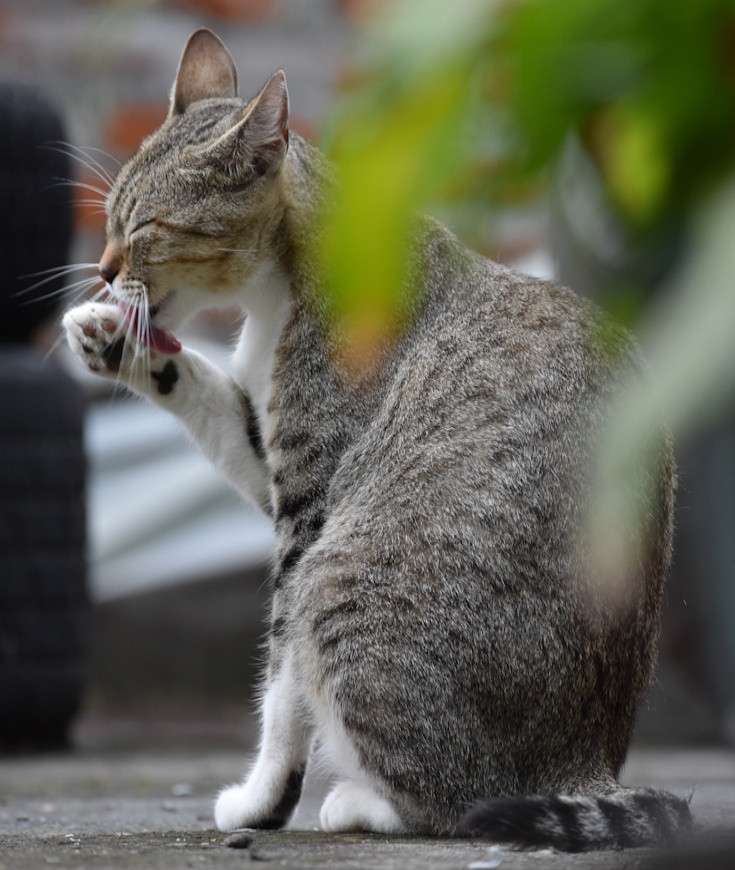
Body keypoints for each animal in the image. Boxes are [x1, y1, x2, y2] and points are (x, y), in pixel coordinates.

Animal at [61, 25, 688, 852]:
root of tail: (586, 767)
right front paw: (114, 343)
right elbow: (208, 398)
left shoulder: (310, 506)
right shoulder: (273, 456)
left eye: (145, 229)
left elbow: (282, 685)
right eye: (107, 222)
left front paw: (262, 800)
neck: (277, 293)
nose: (103, 273)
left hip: (340, 581)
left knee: (455, 802)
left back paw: (362, 803)